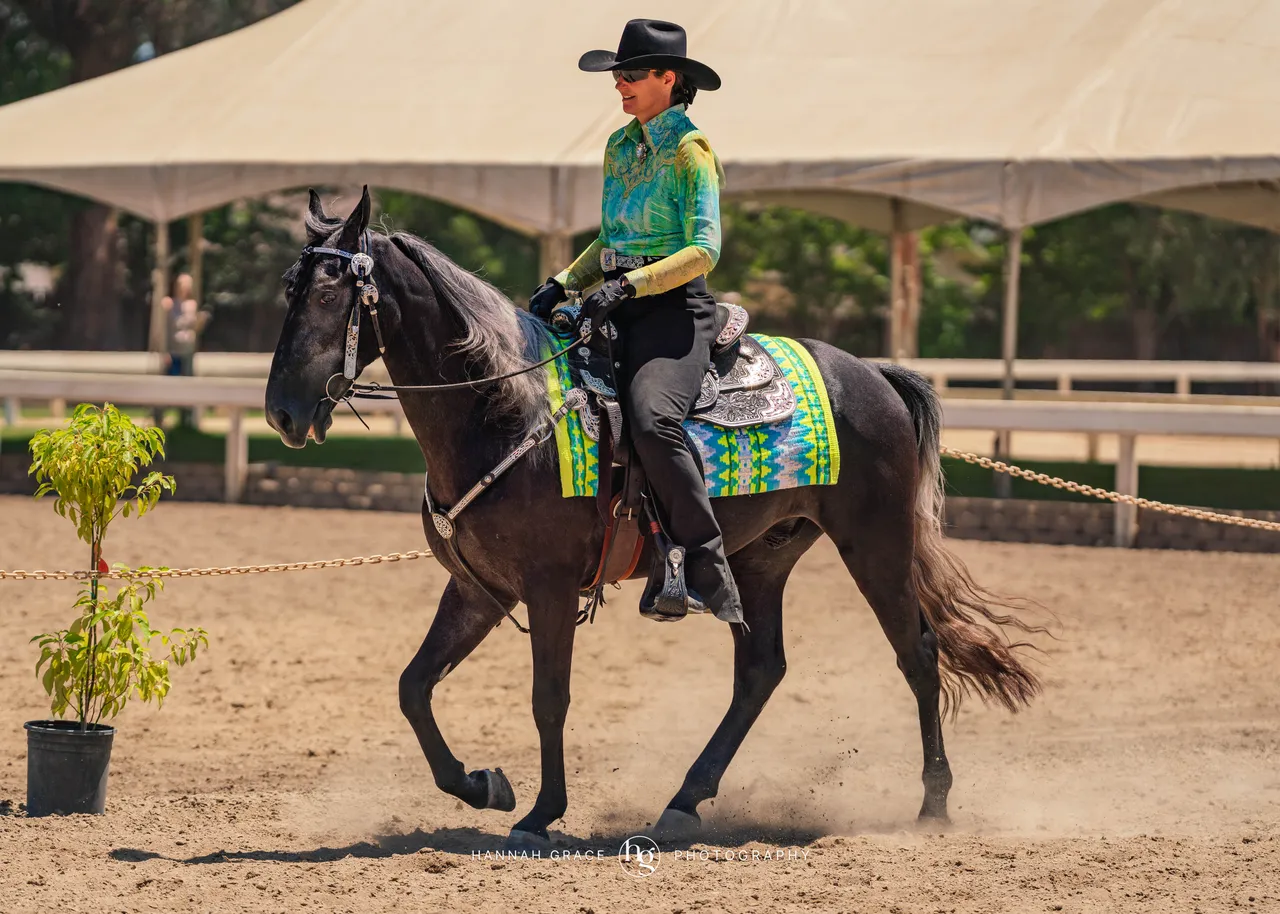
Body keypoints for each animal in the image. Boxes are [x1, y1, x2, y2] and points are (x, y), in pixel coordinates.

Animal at [265, 187, 1044, 851]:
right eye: (288, 290)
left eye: (332, 292)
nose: (282, 413)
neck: (507, 409)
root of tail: (875, 374)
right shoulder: (479, 589)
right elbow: (413, 686)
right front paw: (483, 785)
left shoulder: (549, 588)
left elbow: (549, 698)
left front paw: (541, 813)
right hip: (759, 558)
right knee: (761, 670)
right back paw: (684, 801)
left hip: (875, 542)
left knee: (917, 651)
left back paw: (933, 804)